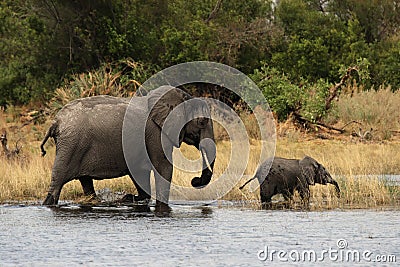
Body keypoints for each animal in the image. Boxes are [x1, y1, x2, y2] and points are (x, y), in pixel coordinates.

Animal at [40, 86, 216, 211]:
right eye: (202, 122)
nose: (195, 181)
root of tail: (56, 122)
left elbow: (140, 172)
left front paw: (129, 199)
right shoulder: (156, 133)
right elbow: (163, 167)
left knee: (85, 181)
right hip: (71, 145)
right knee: (58, 182)